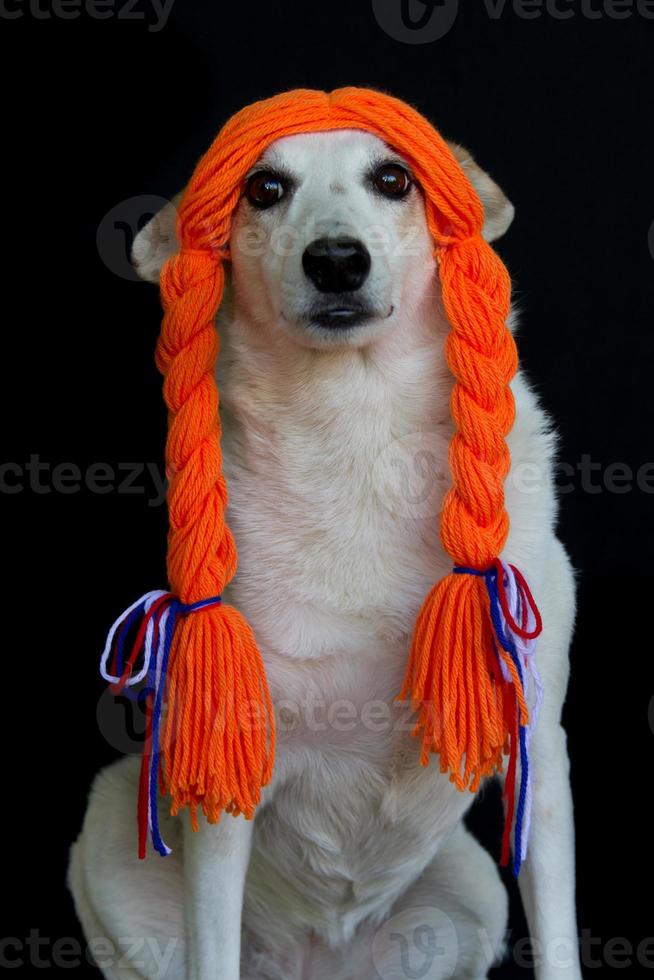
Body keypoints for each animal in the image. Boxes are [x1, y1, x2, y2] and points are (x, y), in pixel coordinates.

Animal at [70, 130, 584, 980]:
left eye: (394, 179)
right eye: (264, 189)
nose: (336, 260)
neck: (355, 422)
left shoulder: (537, 752)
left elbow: (560, 939)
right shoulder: (229, 761)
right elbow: (213, 946)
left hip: (473, 886)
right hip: (110, 834)